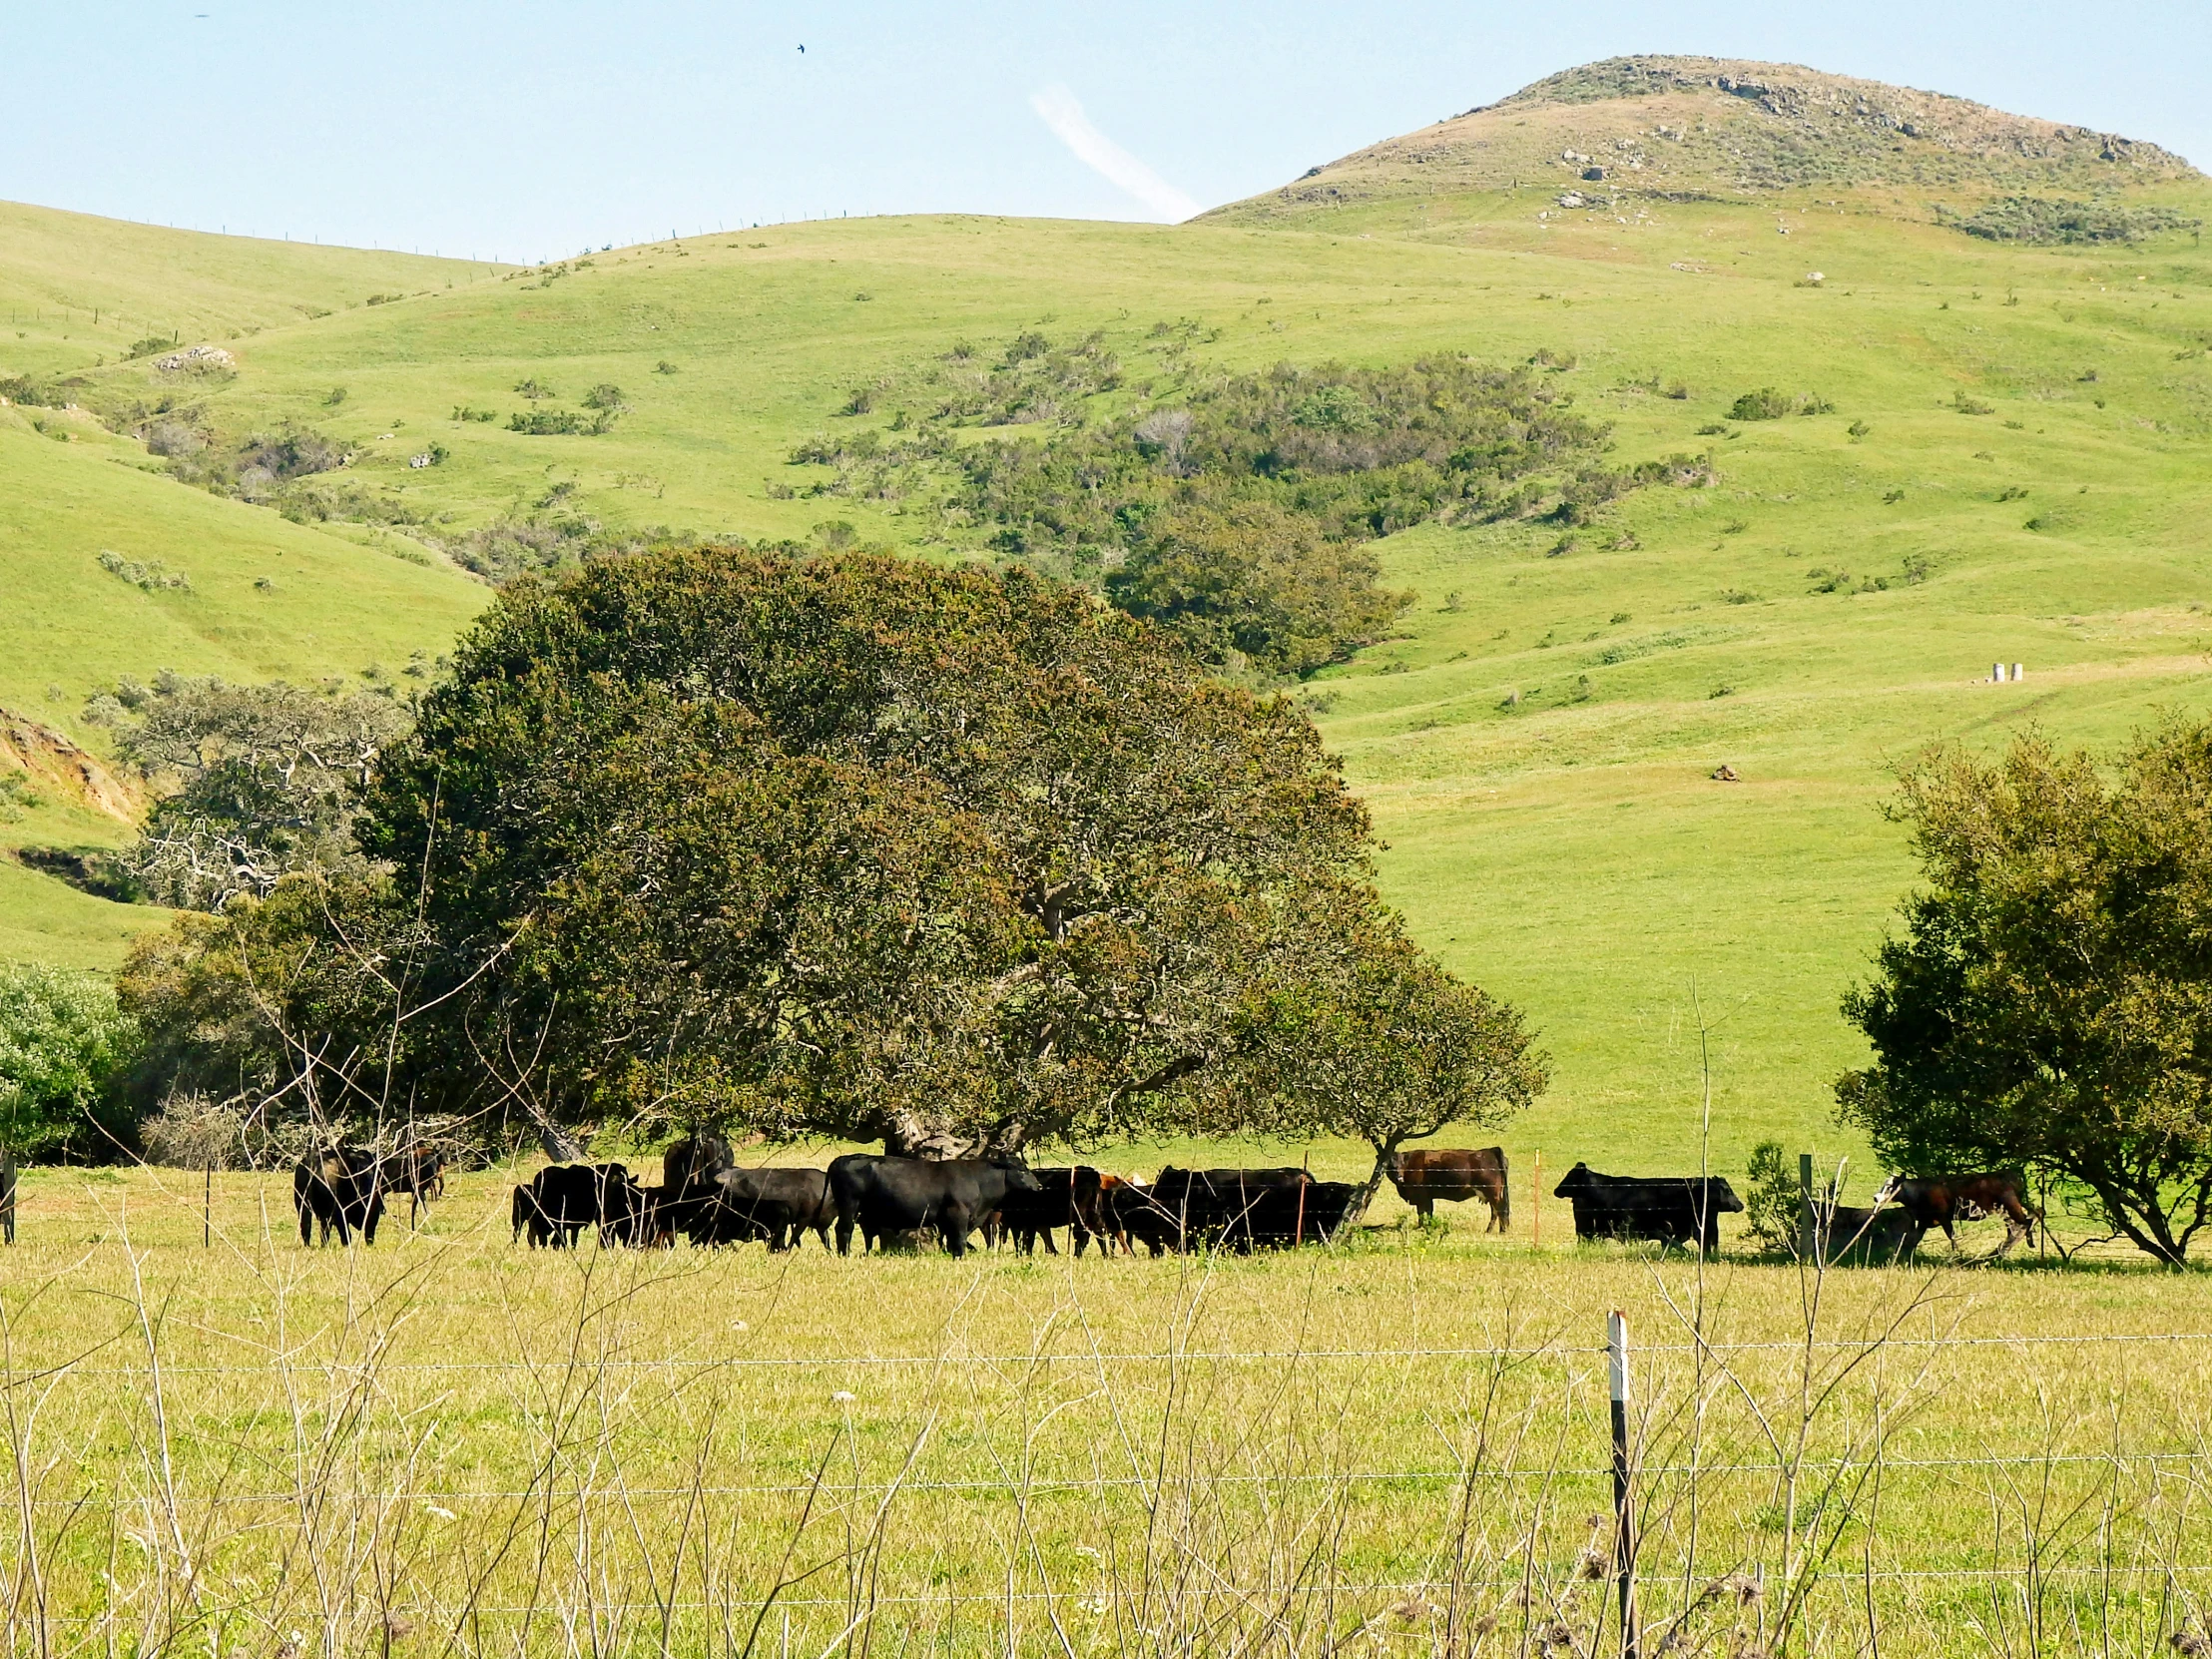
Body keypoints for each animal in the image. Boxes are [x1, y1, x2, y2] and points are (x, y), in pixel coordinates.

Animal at [831, 1159, 1043, 1256]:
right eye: (1022, 1169)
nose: (1039, 1186)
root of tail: (842, 1159)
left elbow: (951, 1242)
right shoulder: (958, 1215)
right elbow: (959, 1241)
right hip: (849, 1207)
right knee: (844, 1230)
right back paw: (845, 1254)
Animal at [1867, 1176, 2034, 1256]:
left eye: (1890, 1186)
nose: (1875, 1197)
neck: (1920, 1192)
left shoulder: (1944, 1218)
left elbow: (1951, 1235)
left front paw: (1956, 1254)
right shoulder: (1924, 1221)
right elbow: (1915, 1239)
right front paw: (1904, 1255)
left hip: (2011, 1207)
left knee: (2027, 1220)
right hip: (2006, 1211)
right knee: (2016, 1224)